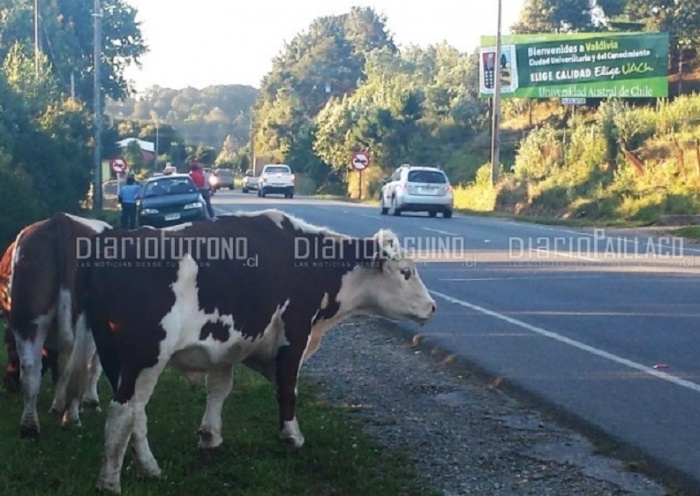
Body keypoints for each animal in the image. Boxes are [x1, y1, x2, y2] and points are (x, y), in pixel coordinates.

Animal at [7, 211, 109, 436]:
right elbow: (94, 367)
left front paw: (57, 405)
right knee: (80, 364)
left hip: (29, 319)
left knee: (31, 368)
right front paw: (90, 402)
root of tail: (61, 221)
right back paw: (71, 417)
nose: (8, 387)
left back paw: (29, 427)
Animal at [78, 209, 438, 492]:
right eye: (406, 272)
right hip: (145, 357)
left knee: (136, 413)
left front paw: (211, 437)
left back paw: (149, 468)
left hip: (116, 359)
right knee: (123, 412)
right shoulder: (294, 333)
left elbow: (219, 390)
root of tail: (115, 243)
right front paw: (292, 436)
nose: (433, 306)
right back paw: (109, 482)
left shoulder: (225, 346)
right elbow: (287, 388)